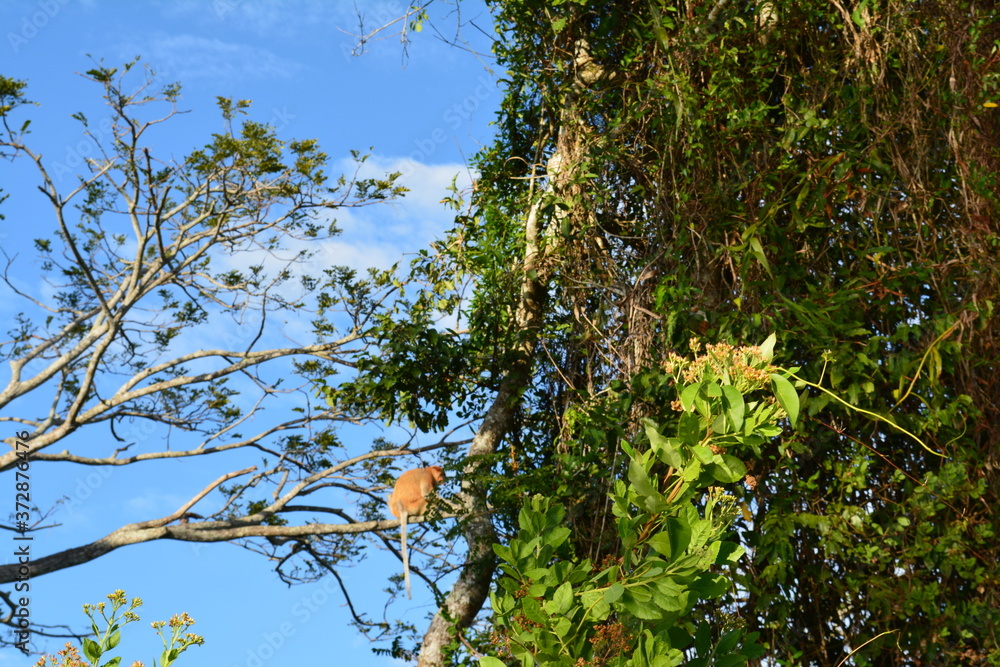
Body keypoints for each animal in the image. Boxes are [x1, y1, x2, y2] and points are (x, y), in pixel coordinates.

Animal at [388, 465, 446, 599]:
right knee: (428, 500)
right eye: (442, 474)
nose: (443, 479)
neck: (428, 469)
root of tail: (401, 508)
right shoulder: (426, 477)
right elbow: (427, 495)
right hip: (417, 506)